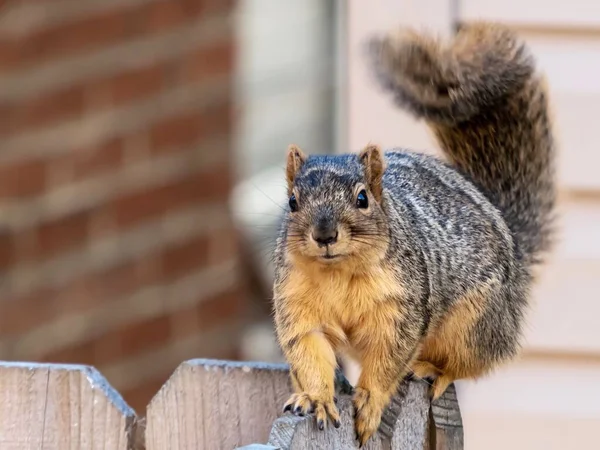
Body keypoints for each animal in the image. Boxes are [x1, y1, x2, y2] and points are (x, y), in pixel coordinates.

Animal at [270, 21, 556, 446]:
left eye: (362, 198)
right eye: (292, 201)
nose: (324, 234)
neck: (338, 272)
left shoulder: (401, 307)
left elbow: (389, 358)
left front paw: (370, 403)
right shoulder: (296, 302)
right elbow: (309, 349)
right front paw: (316, 398)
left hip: (475, 323)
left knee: (471, 361)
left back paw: (434, 369)